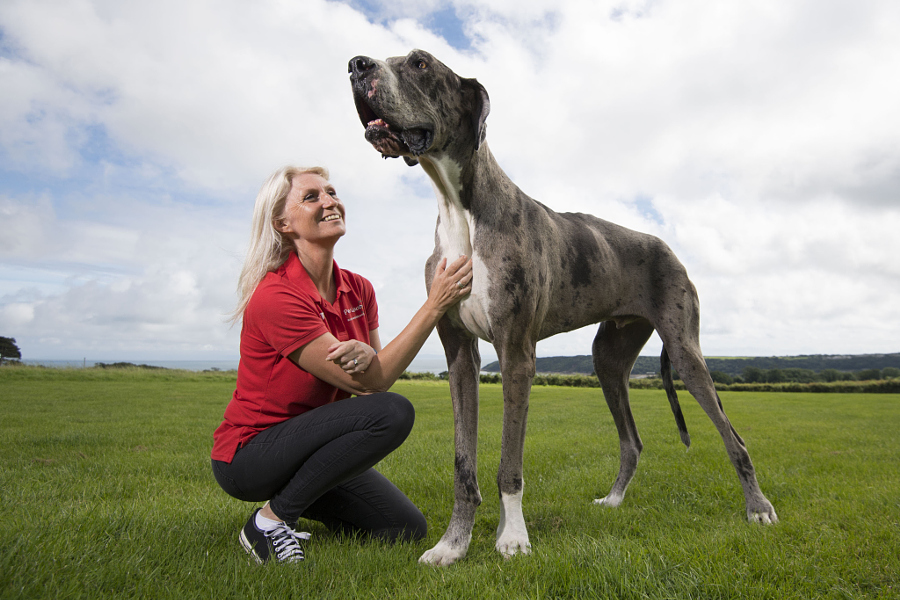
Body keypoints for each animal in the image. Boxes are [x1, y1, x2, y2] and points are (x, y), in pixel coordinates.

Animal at [348, 49, 776, 564]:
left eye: (420, 63)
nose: (356, 65)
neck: (459, 210)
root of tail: (667, 247)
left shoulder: (516, 354)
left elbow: (509, 465)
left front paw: (512, 538)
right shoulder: (459, 357)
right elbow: (462, 463)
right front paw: (453, 545)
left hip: (686, 353)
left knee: (735, 438)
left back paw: (758, 509)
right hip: (608, 360)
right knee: (632, 441)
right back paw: (613, 500)